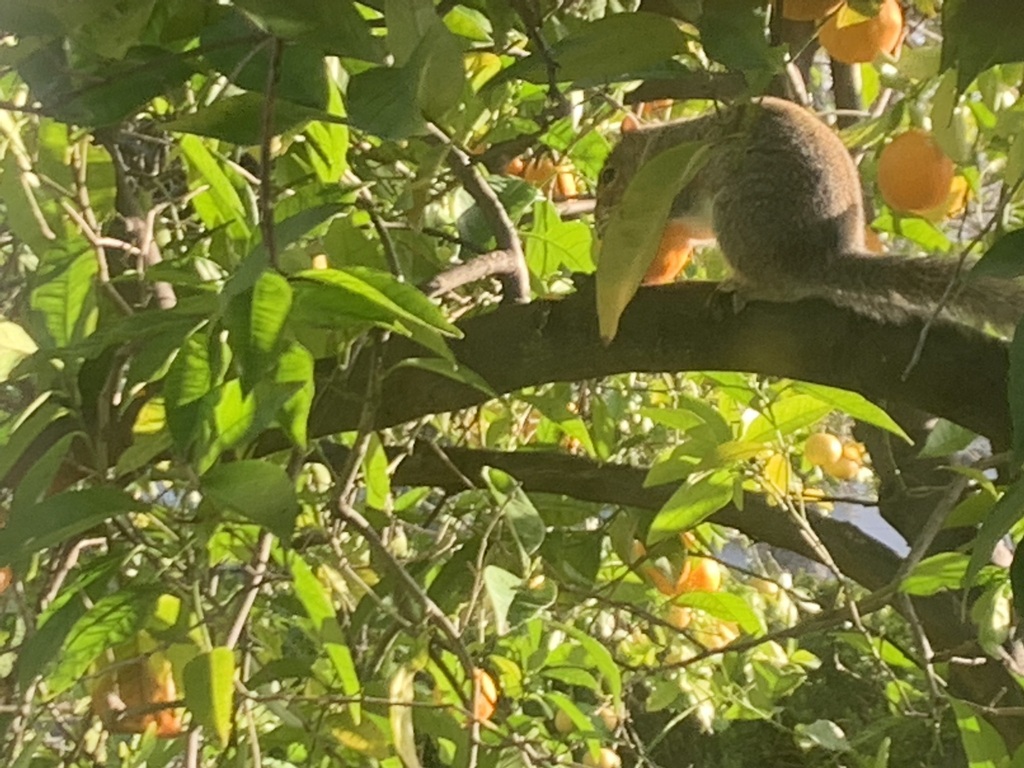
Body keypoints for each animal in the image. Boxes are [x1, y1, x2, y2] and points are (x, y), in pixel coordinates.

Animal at [593, 96, 1024, 333]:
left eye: (609, 175)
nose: (597, 217)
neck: (661, 144)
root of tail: (821, 259)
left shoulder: (678, 180)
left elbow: (671, 209)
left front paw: (613, 224)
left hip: (741, 214)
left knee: (783, 287)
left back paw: (748, 286)